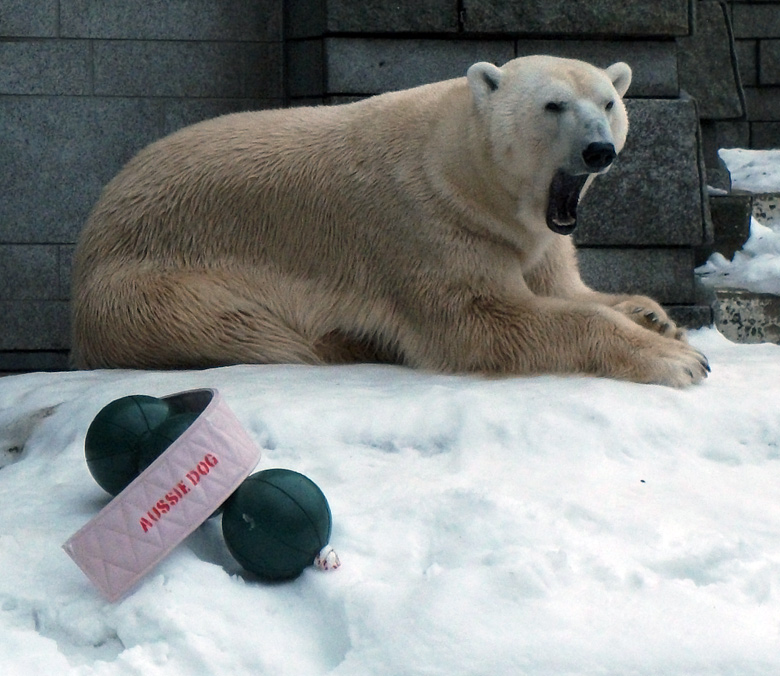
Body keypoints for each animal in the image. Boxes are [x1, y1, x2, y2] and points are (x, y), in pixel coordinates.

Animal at [70, 56, 708, 386]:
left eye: (609, 102)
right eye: (553, 105)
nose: (599, 149)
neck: (460, 169)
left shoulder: (535, 237)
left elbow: (564, 287)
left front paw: (655, 317)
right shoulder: (424, 225)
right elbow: (488, 321)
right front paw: (680, 360)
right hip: (154, 284)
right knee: (248, 327)